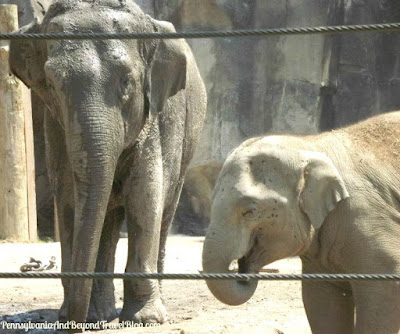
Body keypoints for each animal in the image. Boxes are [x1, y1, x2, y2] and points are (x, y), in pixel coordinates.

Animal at [9, 0, 206, 326]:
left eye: (127, 81)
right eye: (52, 83)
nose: (70, 322)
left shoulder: (155, 119)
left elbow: (144, 196)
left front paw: (144, 320)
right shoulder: (55, 125)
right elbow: (69, 198)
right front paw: (83, 316)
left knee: (164, 210)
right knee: (108, 218)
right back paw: (100, 313)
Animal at [203, 111, 400, 332]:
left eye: (250, 211)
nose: (240, 268)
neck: (311, 145)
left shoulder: (365, 217)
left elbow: (385, 290)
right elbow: (320, 301)